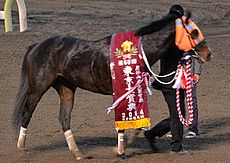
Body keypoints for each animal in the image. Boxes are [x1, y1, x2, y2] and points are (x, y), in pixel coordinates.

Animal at [11, 4, 212, 160]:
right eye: (194, 32)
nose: (208, 54)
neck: (136, 52)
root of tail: (36, 46)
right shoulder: (120, 90)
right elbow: (124, 123)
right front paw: (120, 150)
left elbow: (136, 122)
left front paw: (126, 145)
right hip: (38, 86)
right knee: (27, 113)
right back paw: (21, 148)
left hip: (66, 88)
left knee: (64, 118)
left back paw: (78, 153)